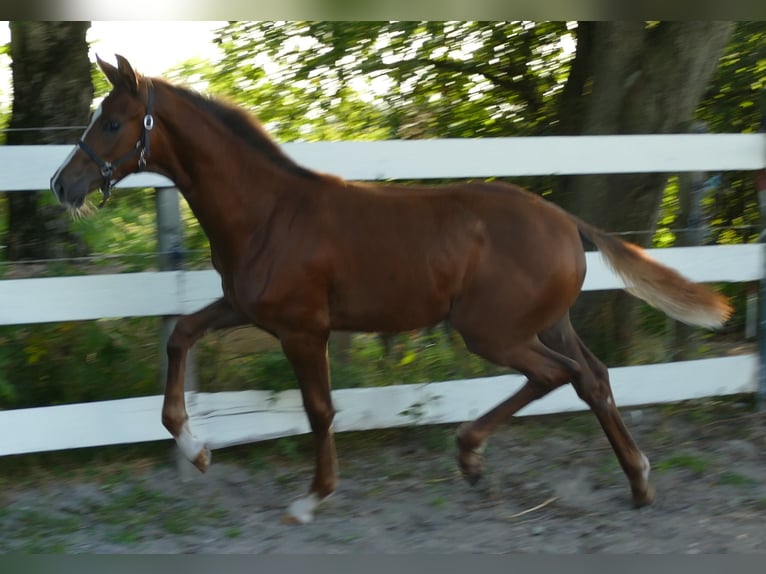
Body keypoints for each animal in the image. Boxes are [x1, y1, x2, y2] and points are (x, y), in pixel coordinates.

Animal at [51, 55, 728, 528]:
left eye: (112, 122)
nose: (63, 184)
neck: (268, 211)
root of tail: (567, 222)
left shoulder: (303, 329)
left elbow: (319, 409)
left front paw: (311, 499)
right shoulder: (245, 307)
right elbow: (181, 336)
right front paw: (195, 450)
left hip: (493, 332)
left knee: (555, 375)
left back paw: (473, 455)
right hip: (546, 322)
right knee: (592, 378)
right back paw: (636, 481)